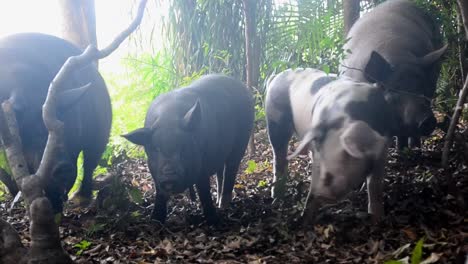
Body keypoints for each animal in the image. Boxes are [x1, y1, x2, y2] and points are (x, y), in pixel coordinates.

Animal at [0, 33, 112, 212]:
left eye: (63, 127)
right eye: (26, 131)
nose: (62, 167)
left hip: (102, 127)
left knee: (90, 161)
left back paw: (80, 199)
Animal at [120, 75, 252, 225]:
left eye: (183, 146)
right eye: (155, 148)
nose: (169, 177)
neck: (168, 119)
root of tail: (242, 86)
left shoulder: (202, 165)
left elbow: (204, 191)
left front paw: (213, 221)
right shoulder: (155, 173)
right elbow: (159, 194)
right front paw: (155, 221)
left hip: (242, 140)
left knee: (231, 169)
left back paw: (224, 206)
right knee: (220, 173)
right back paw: (219, 202)